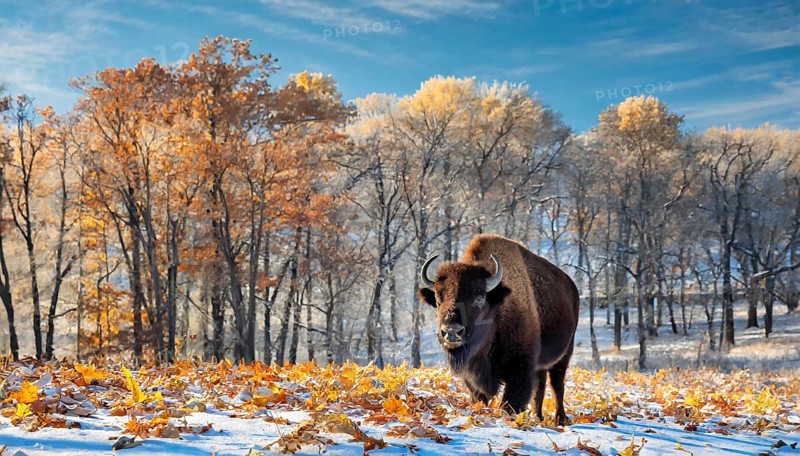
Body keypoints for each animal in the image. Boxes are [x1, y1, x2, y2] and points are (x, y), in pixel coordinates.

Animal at [417, 234, 579, 425]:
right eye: (437, 299)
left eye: (479, 298)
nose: (451, 331)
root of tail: (572, 286)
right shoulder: (472, 373)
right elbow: (480, 397)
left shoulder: (521, 366)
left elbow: (512, 401)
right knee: (541, 387)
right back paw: (538, 417)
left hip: (565, 354)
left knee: (557, 385)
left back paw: (560, 419)